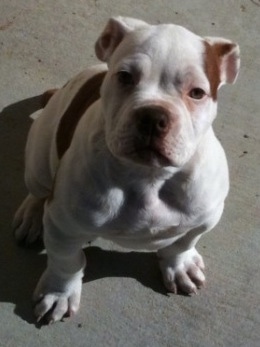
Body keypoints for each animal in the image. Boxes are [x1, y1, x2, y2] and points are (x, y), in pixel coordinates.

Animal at [12, 17, 240, 324]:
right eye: (124, 77)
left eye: (197, 93)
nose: (153, 116)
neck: (149, 177)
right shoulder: (62, 224)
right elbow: (66, 261)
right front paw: (59, 293)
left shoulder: (206, 217)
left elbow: (183, 242)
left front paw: (180, 266)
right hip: (39, 158)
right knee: (38, 190)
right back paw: (31, 216)